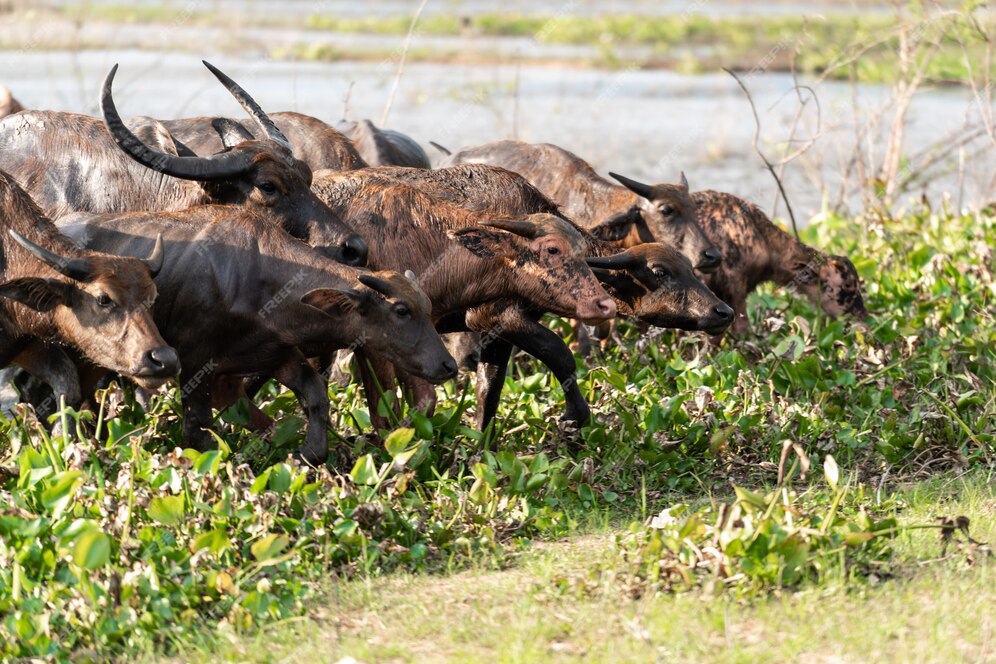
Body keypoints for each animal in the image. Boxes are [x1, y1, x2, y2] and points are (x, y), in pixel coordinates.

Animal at [58, 205, 456, 464]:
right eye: (401, 310)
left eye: (426, 306)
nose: (448, 366)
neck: (259, 276)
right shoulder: (195, 364)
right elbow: (198, 430)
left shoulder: (274, 354)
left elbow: (313, 395)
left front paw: (307, 453)